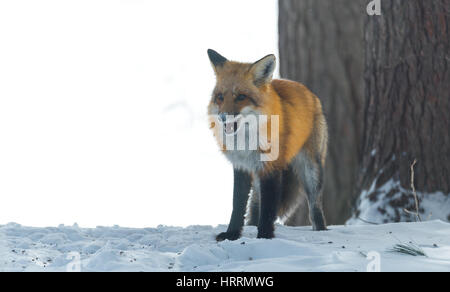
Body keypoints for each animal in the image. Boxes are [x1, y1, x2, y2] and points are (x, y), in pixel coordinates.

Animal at [207, 48, 326, 240]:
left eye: (241, 97)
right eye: (220, 97)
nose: (223, 118)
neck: (247, 142)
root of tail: (308, 91)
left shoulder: (271, 167)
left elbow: (269, 208)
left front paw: (264, 235)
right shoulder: (241, 166)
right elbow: (237, 205)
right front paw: (232, 234)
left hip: (311, 171)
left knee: (315, 207)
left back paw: (321, 231)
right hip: (258, 176)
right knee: (256, 205)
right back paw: (251, 225)